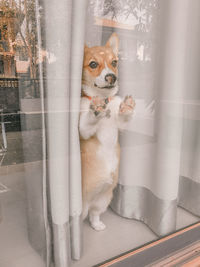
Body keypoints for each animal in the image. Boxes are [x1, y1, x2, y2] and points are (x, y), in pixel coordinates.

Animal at [79, 32, 135, 231]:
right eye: (93, 64)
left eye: (114, 62)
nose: (112, 77)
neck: (105, 100)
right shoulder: (83, 128)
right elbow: (88, 120)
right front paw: (96, 109)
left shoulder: (121, 125)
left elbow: (124, 118)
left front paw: (126, 107)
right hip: (82, 205)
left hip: (103, 198)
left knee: (94, 214)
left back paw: (97, 225)